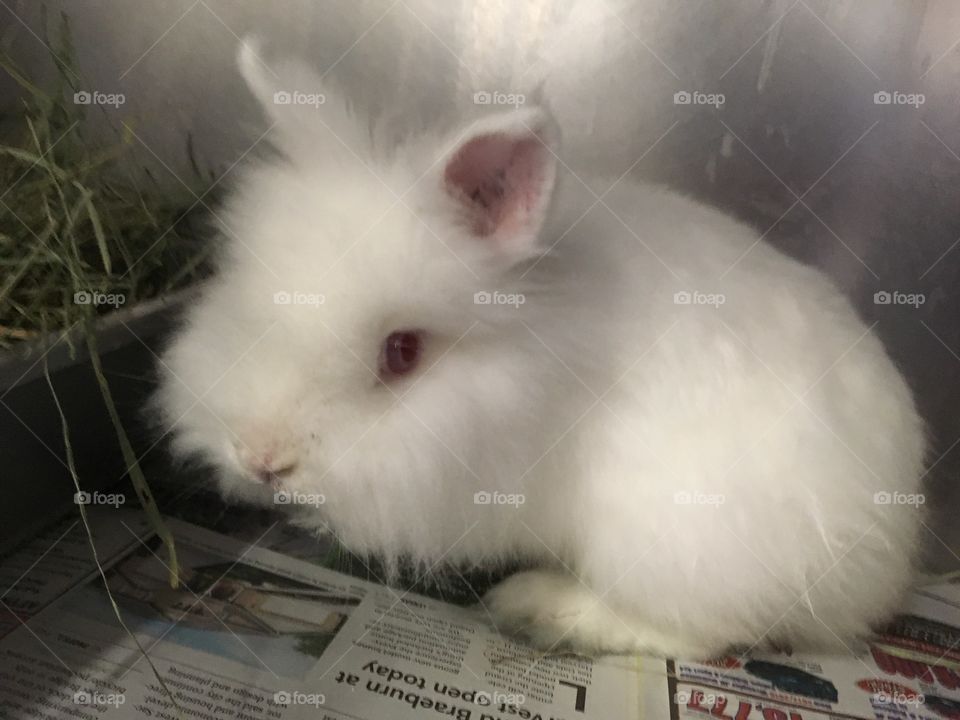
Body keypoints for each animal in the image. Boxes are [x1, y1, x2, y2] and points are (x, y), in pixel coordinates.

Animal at [154, 43, 928, 660]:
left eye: (402, 351)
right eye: (241, 294)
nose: (262, 459)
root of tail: (895, 543)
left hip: (677, 543)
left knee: (705, 632)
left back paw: (543, 609)